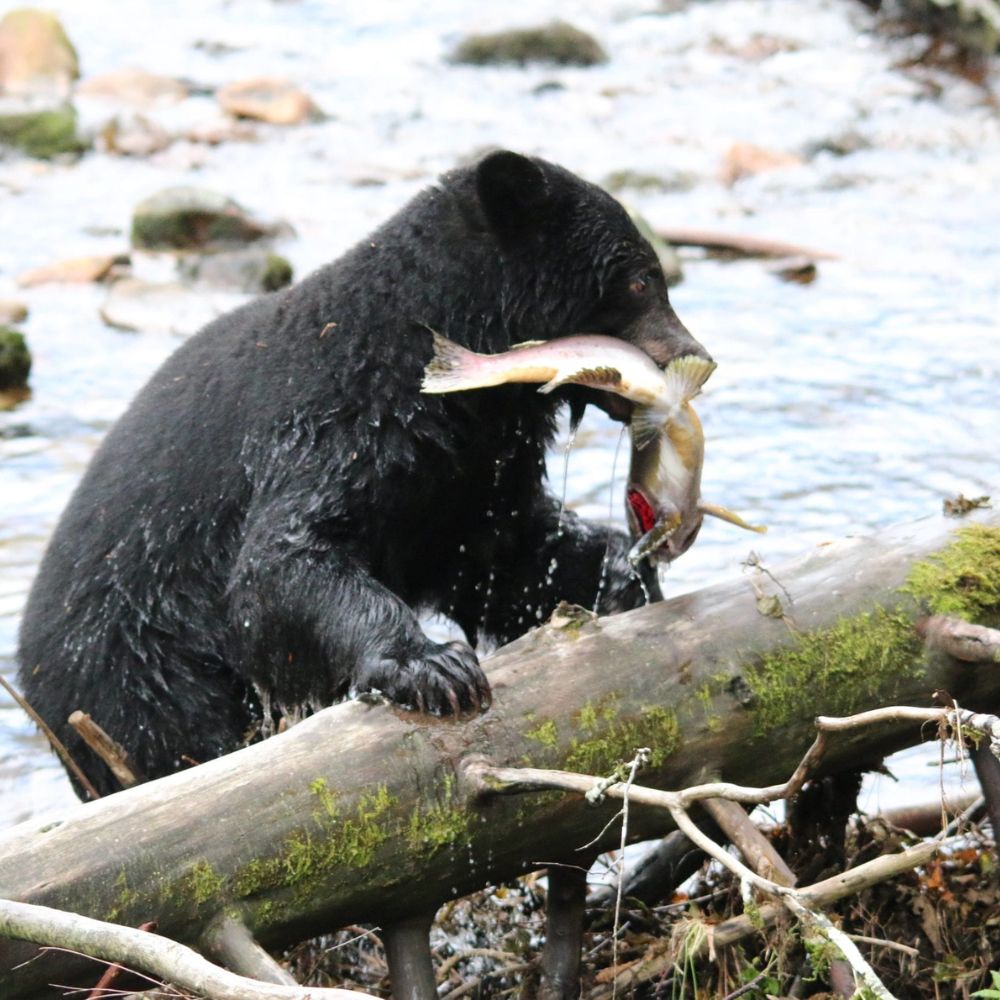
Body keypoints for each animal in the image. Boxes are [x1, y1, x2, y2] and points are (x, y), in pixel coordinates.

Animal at [18, 151, 710, 798]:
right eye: (642, 280)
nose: (698, 357)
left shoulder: (462, 473)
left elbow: (505, 552)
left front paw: (620, 572)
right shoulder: (334, 422)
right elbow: (283, 563)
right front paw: (434, 667)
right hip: (138, 668)